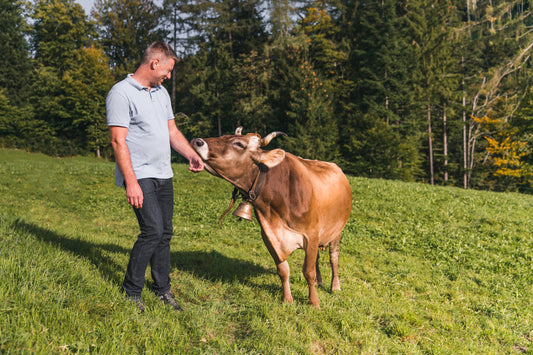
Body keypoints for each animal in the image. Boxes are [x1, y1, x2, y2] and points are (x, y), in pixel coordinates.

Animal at [189, 129, 352, 308]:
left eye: (239, 144)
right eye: (223, 136)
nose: (197, 141)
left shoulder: (311, 235)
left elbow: (308, 271)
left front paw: (314, 302)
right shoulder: (269, 236)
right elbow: (283, 270)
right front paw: (287, 299)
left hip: (336, 231)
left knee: (334, 257)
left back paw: (335, 286)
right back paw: (319, 282)